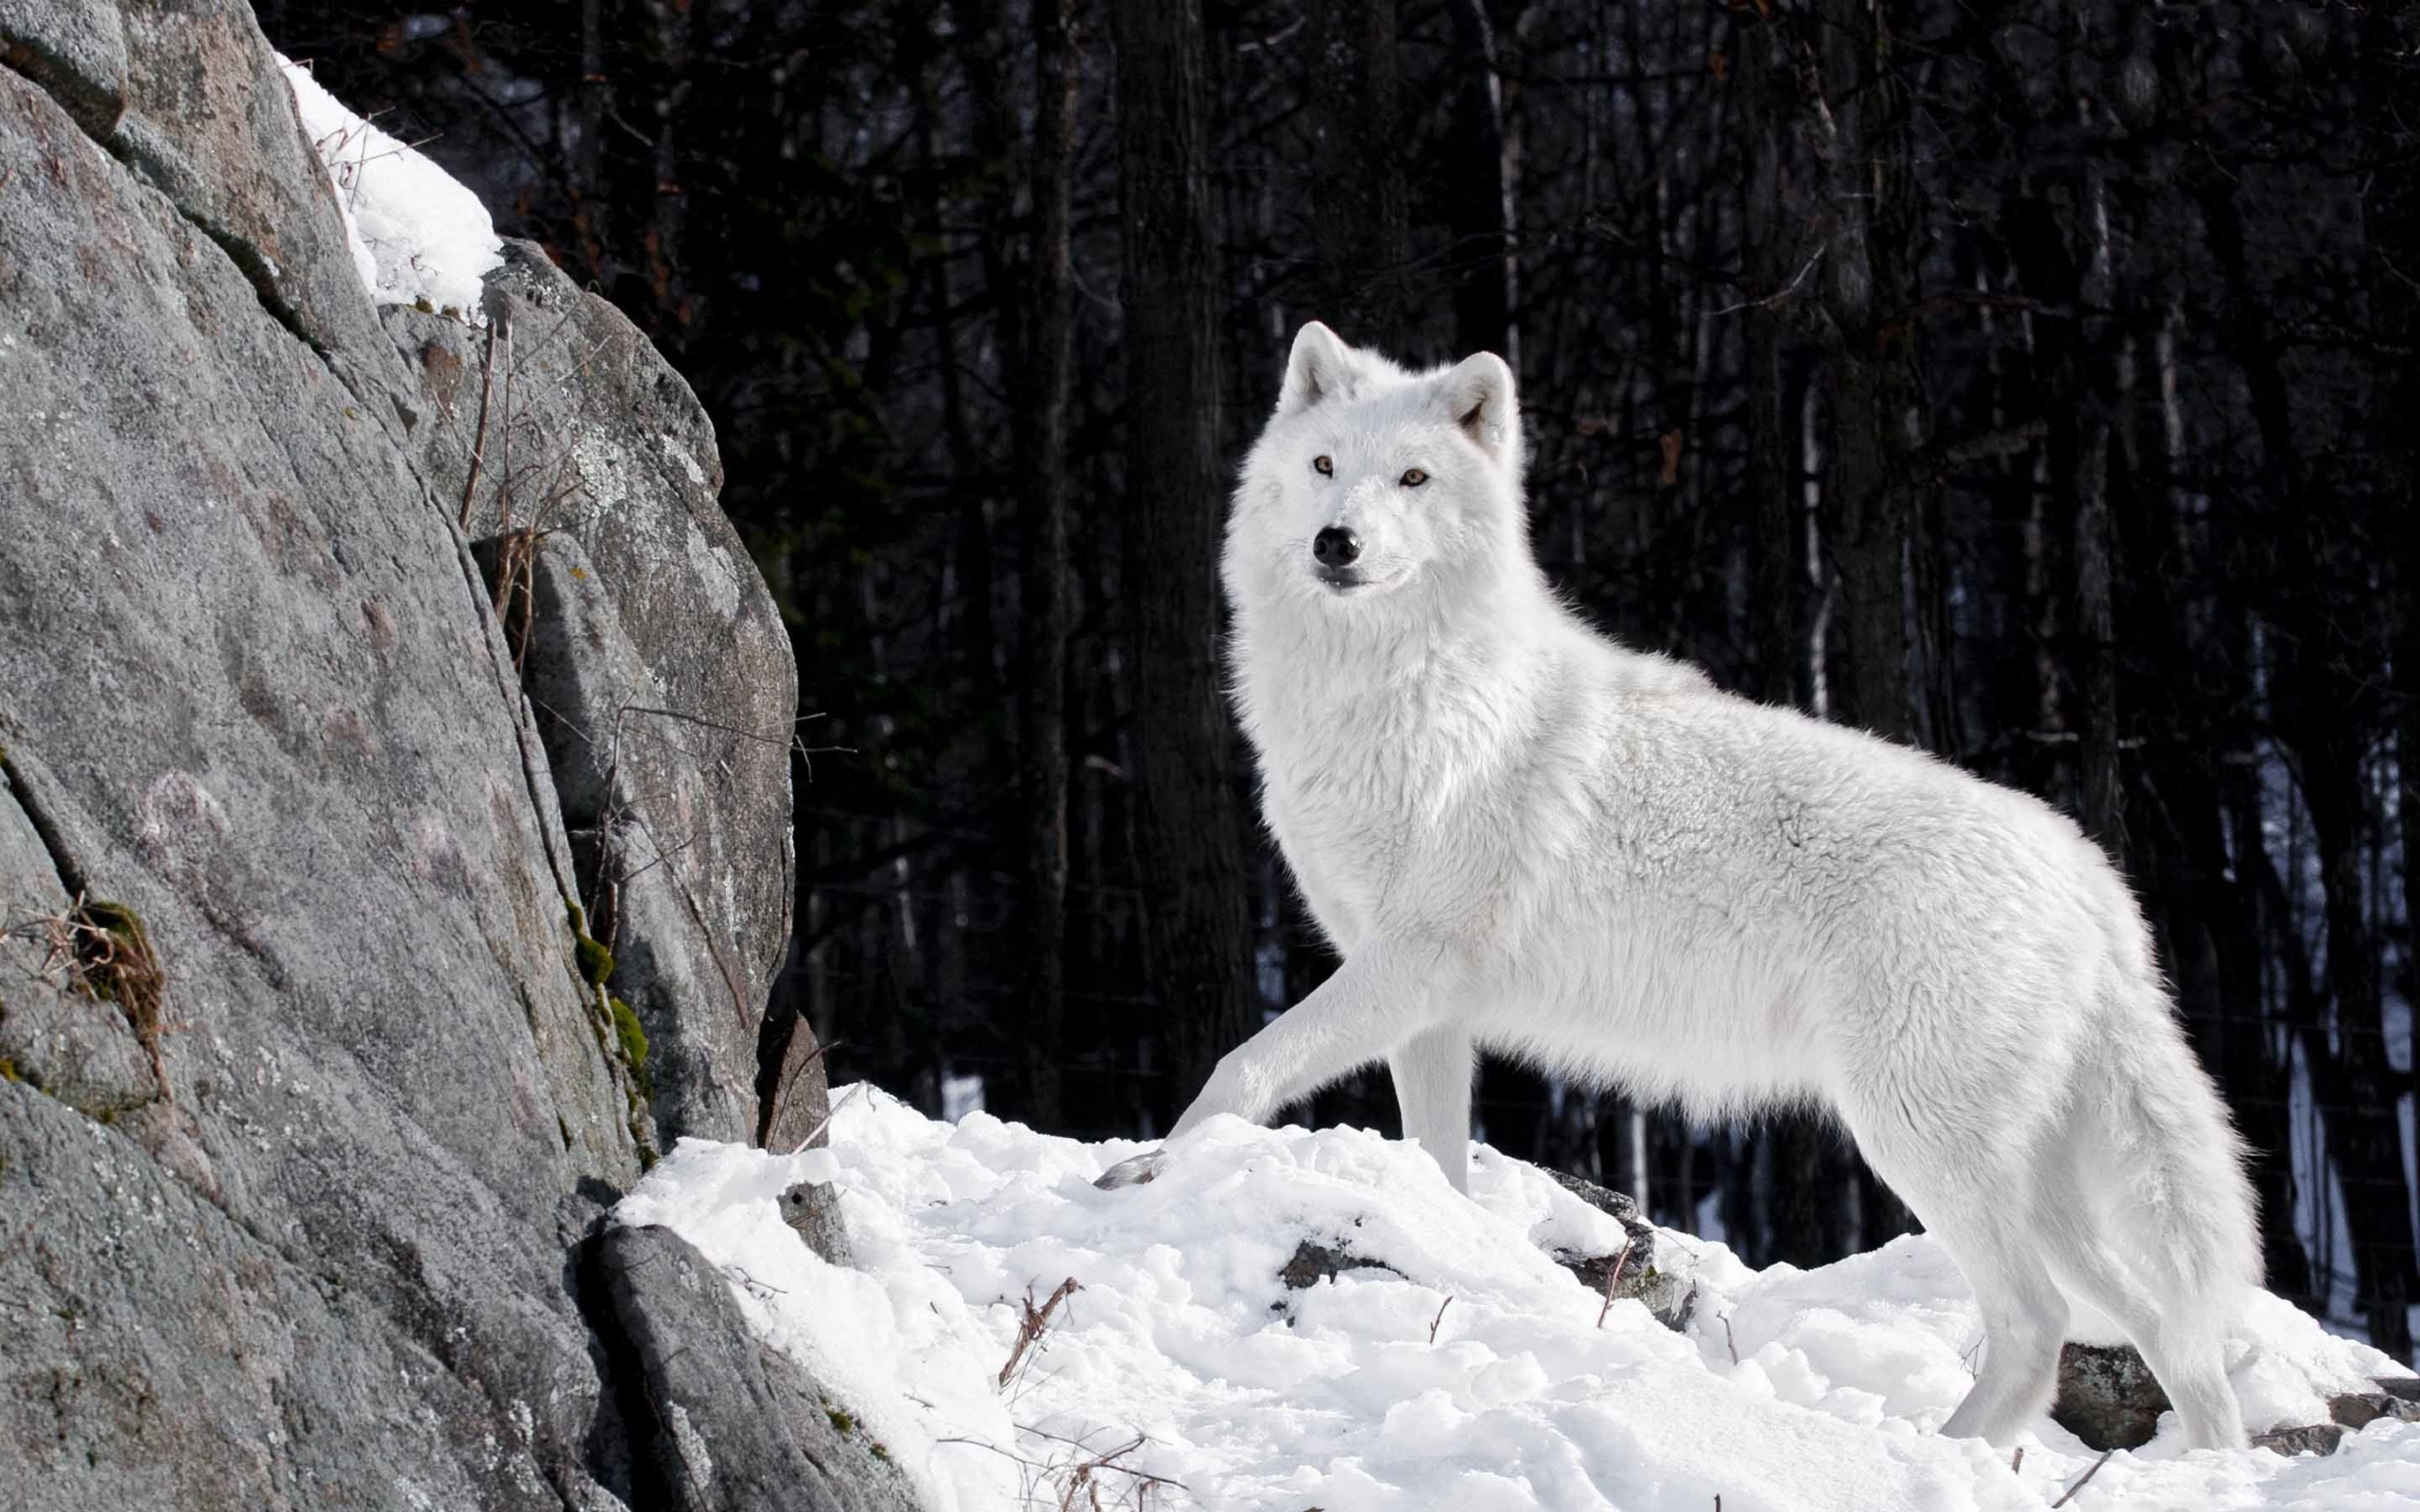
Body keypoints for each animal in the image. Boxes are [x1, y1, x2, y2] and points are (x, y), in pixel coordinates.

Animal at [1116, 321, 2261, 1451]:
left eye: (1412, 478)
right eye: (1323, 468)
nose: (1337, 543)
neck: (1397, 694)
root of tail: (2090, 874)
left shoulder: (1409, 964)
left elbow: (1241, 1068)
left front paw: (1146, 1173)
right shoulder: (1423, 1007)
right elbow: (1436, 1163)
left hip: (1917, 1139)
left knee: (2039, 1324)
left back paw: (1926, 1455)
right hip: (2032, 1181)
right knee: (2168, 1329)